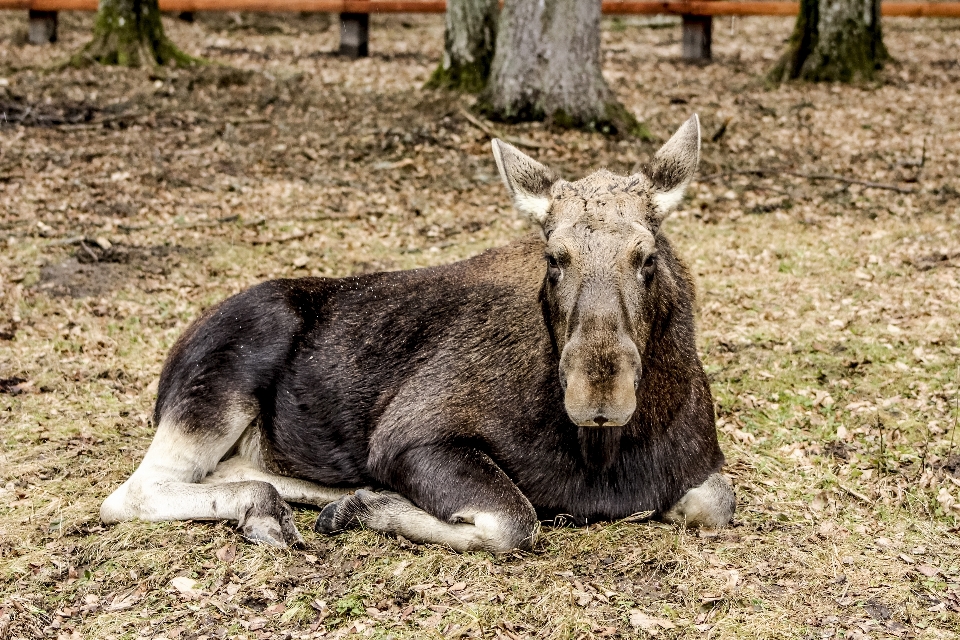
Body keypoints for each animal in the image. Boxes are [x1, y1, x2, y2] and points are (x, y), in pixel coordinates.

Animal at [101, 114, 736, 552]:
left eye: (647, 257)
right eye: (554, 258)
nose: (598, 393)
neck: (605, 452)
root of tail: (171, 362)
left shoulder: (702, 473)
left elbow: (717, 502)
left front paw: (362, 503)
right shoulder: (409, 437)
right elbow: (513, 520)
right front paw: (366, 510)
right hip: (216, 392)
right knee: (130, 494)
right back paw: (274, 509)